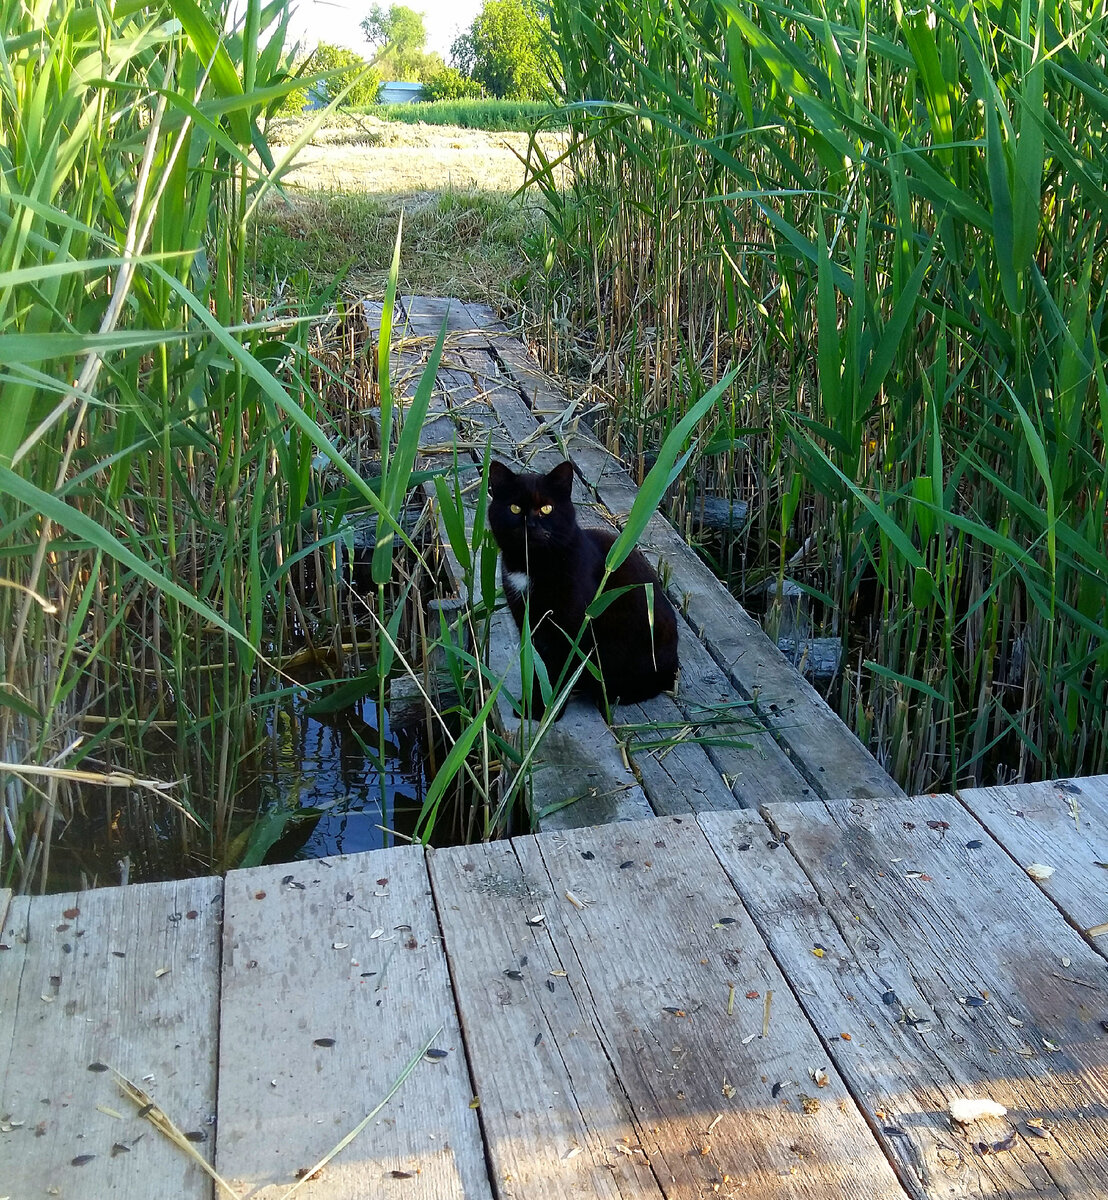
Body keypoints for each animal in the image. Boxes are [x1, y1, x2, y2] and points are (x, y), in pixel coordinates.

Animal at [489, 460, 681, 715]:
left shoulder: (570, 625)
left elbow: (558, 667)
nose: (530, 524)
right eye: (514, 508)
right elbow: (537, 663)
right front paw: (531, 704)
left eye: (547, 509)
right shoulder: (526, 618)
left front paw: (548, 707)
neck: (531, 564)